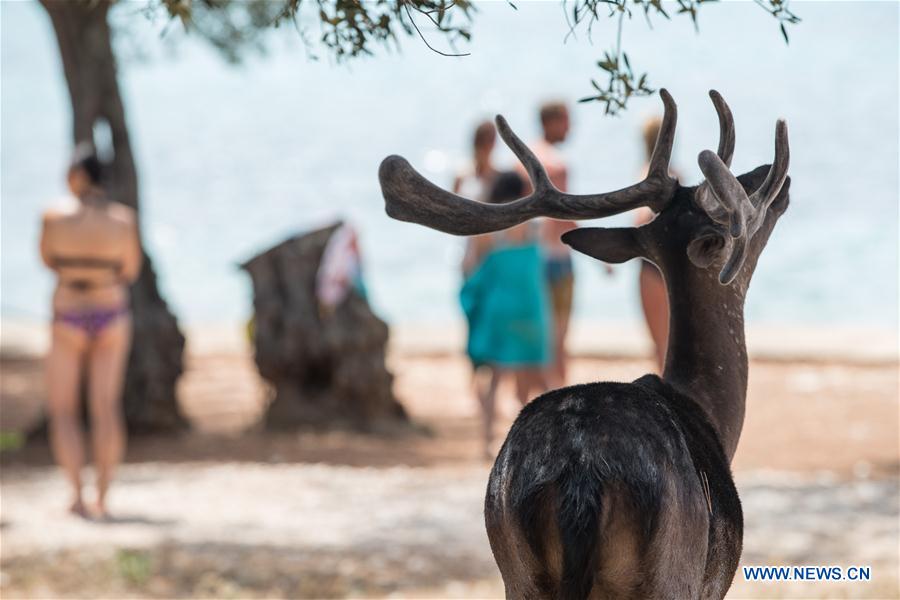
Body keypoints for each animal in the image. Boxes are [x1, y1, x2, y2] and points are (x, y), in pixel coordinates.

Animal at [377, 88, 790, 600]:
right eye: (745, 196)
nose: (773, 176)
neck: (711, 411)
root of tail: (580, 476)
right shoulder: (712, 582)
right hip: (670, 569)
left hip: (517, 569)